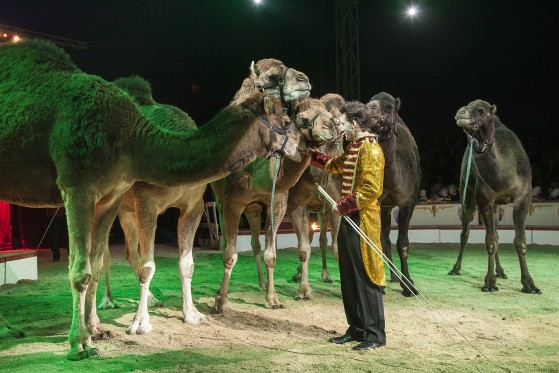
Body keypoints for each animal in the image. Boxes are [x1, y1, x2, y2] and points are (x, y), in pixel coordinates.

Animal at [0, 40, 302, 358]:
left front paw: (188, 315)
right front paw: (86, 340)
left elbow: (171, 263)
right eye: (284, 120)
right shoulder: (83, 188)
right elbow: (94, 268)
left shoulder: (129, 198)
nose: (298, 144)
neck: (133, 138)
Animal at [211, 97, 336, 312]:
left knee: (255, 243)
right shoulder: (233, 203)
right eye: (302, 118)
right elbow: (230, 254)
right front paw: (222, 301)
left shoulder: (277, 205)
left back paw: (262, 284)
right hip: (220, 201)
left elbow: (271, 254)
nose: (331, 126)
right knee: (225, 243)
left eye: (329, 114)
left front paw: (273, 299)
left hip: (253, 210)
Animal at [286, 93, 348, 300]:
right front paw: (304, 291)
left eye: (330, 116)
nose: (328, 126)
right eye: (303, 118)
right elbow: (303, 248)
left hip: (322, 210)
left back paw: (326, 274)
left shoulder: (335, 206)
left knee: (321, 239)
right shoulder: (296, 206)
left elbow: (336, 247)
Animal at [368, 92, 420, 296]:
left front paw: (409, 286)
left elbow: (403, 243)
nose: (370, 108)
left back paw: (395, 277)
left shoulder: (408, 202)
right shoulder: (377, 202)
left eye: (389, 107)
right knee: (383, 238)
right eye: (369, 102)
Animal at [448, 99, 540, 294]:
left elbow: (520, 241)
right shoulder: (484, 199)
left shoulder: (524, 196)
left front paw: (529, 284)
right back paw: (456, 268)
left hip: (497, 206)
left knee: (496, 233)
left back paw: (501, 271)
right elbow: (490, 241)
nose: (460, 113)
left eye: (481, 111)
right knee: (465, 233)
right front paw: (489, 282)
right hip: (468, 196)